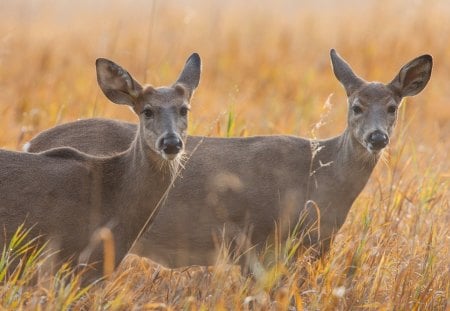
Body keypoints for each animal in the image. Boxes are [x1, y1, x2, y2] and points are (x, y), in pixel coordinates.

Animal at [25, 50, 432, 276]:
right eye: (356, 106)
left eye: (393, 107)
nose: (377, 138)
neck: (320, 178)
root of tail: (32, 142)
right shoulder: (258, 240)